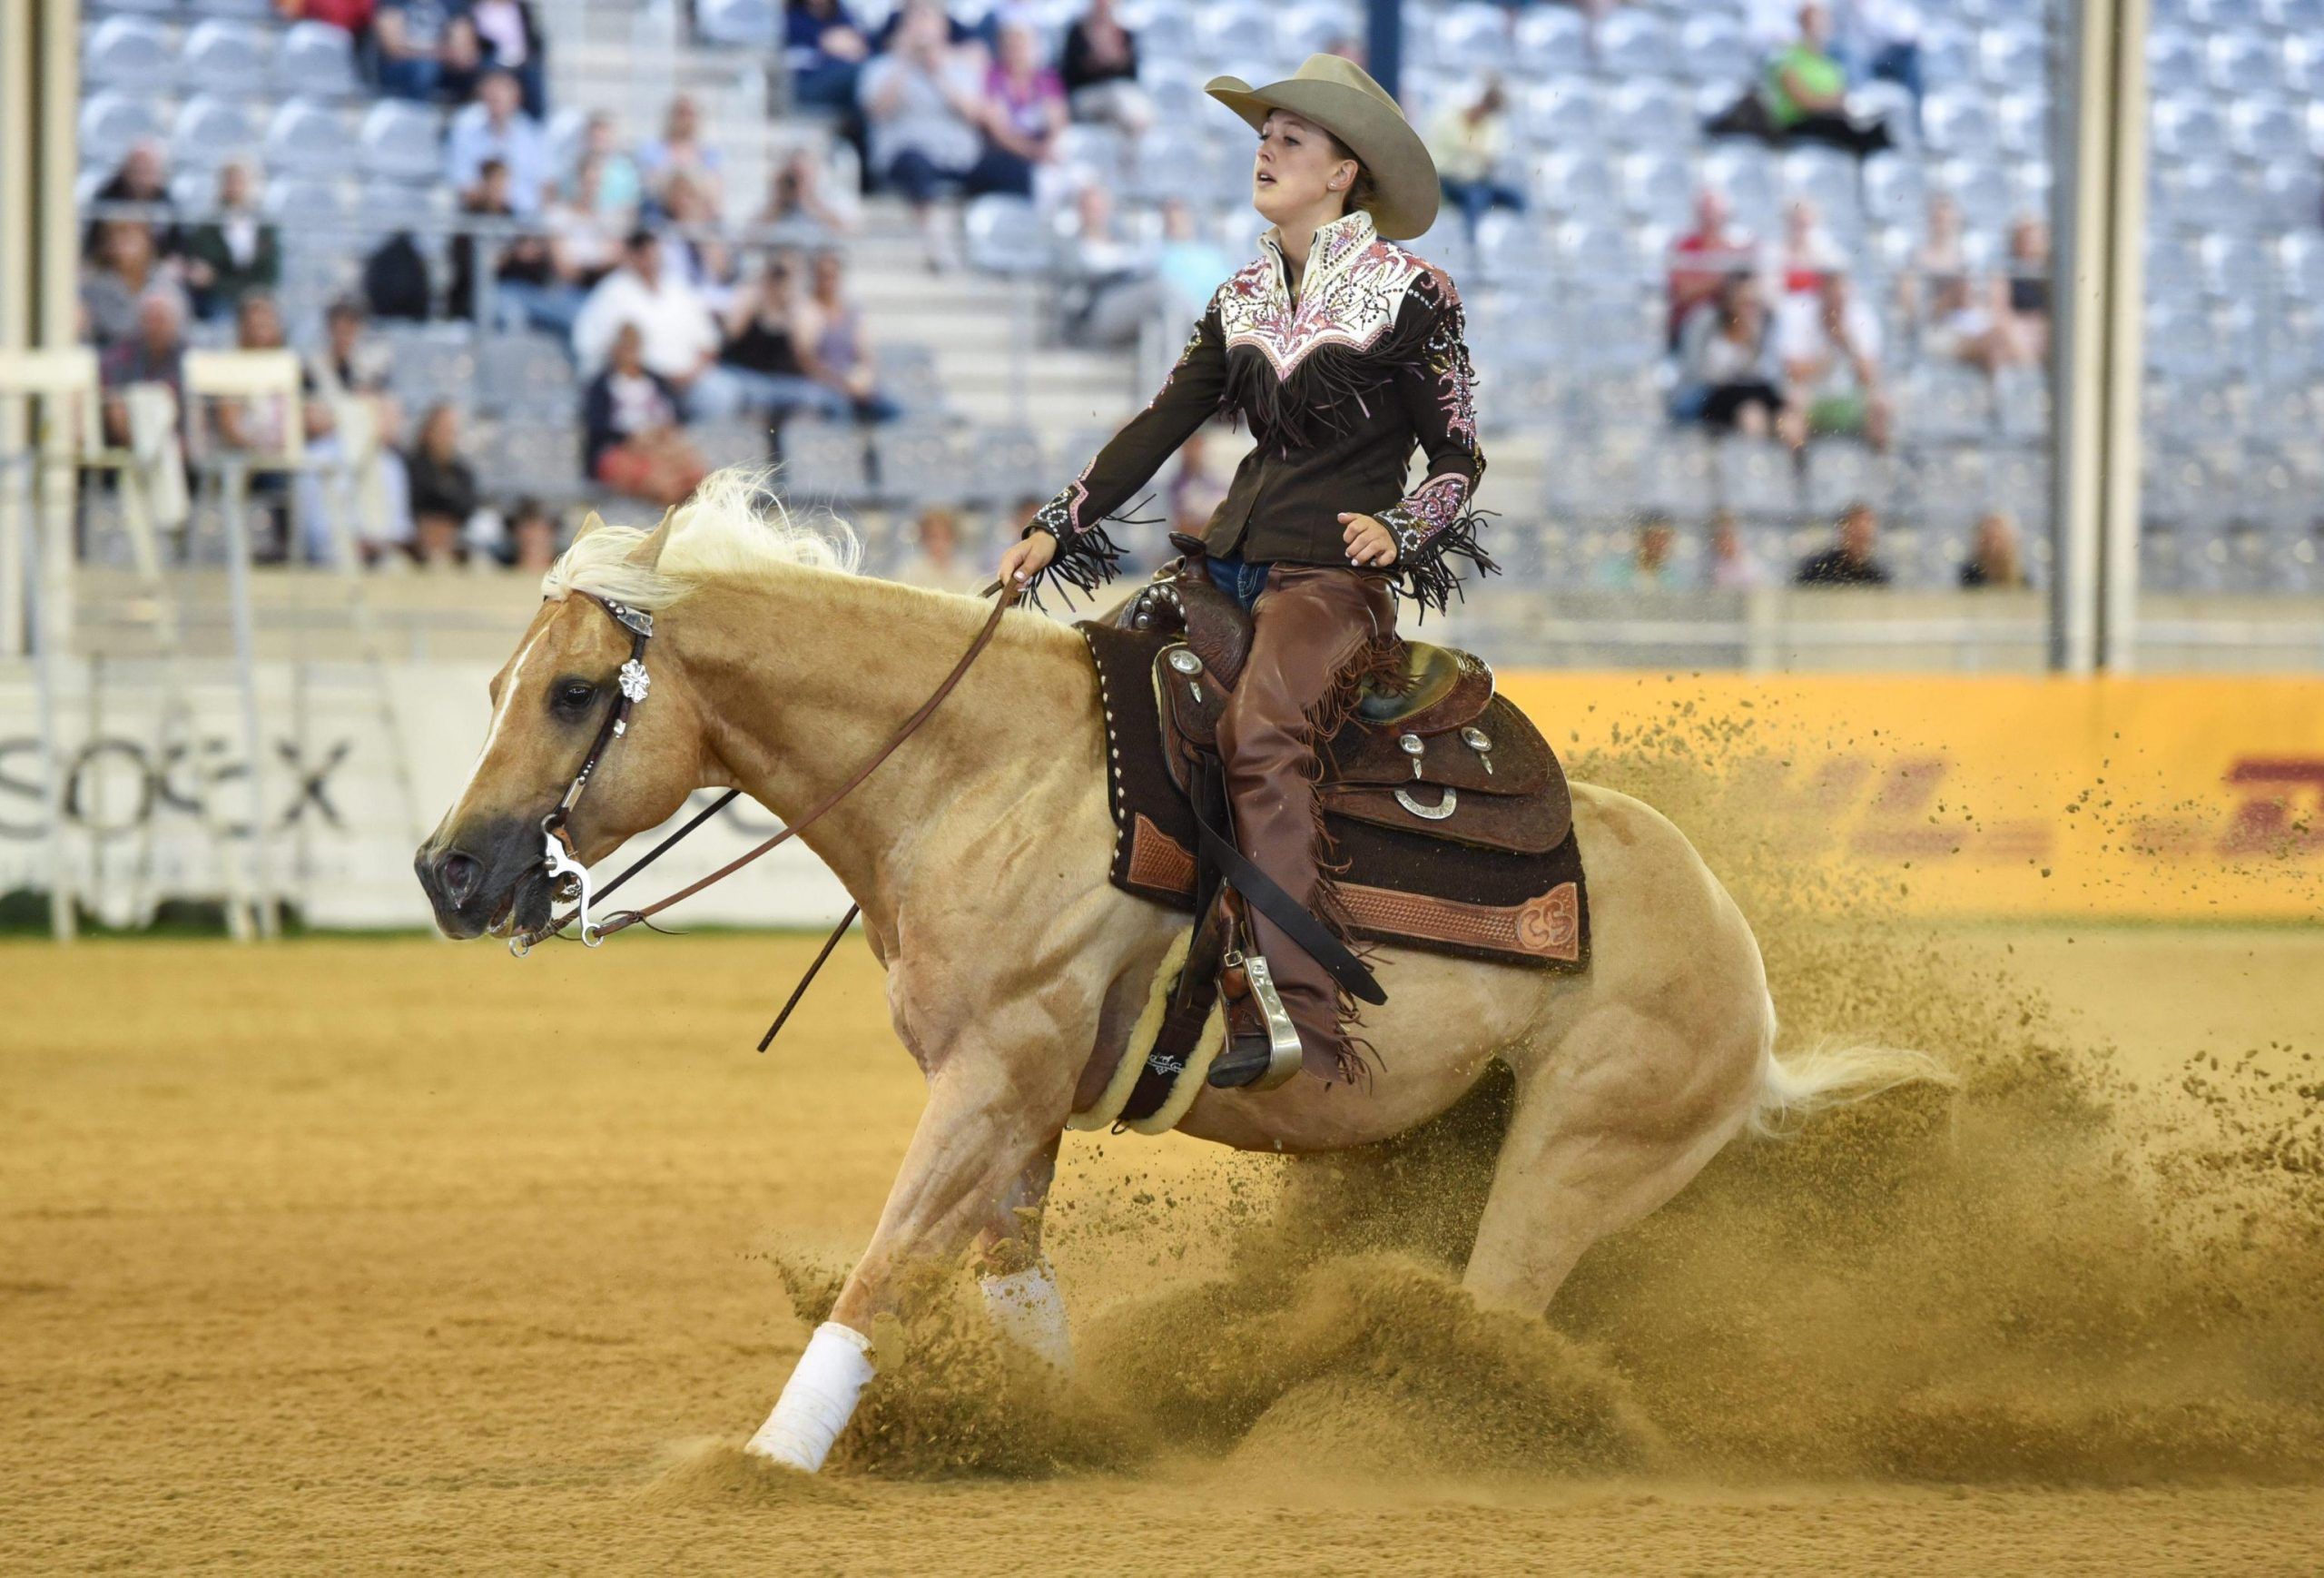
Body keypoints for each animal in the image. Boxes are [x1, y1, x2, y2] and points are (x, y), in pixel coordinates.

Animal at [414, 471, 1941, 1471]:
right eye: (494, 685)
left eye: (573, 693)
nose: (449, 871)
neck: (986, 772)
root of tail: (1749, 993)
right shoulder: (1021, 1098)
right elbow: (1011, 1282)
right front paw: (1066, 1431)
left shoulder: (994, 1073)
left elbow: (882, 1270)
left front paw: (762, 1465)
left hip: (1576, 1155)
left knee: (1492, 1319)